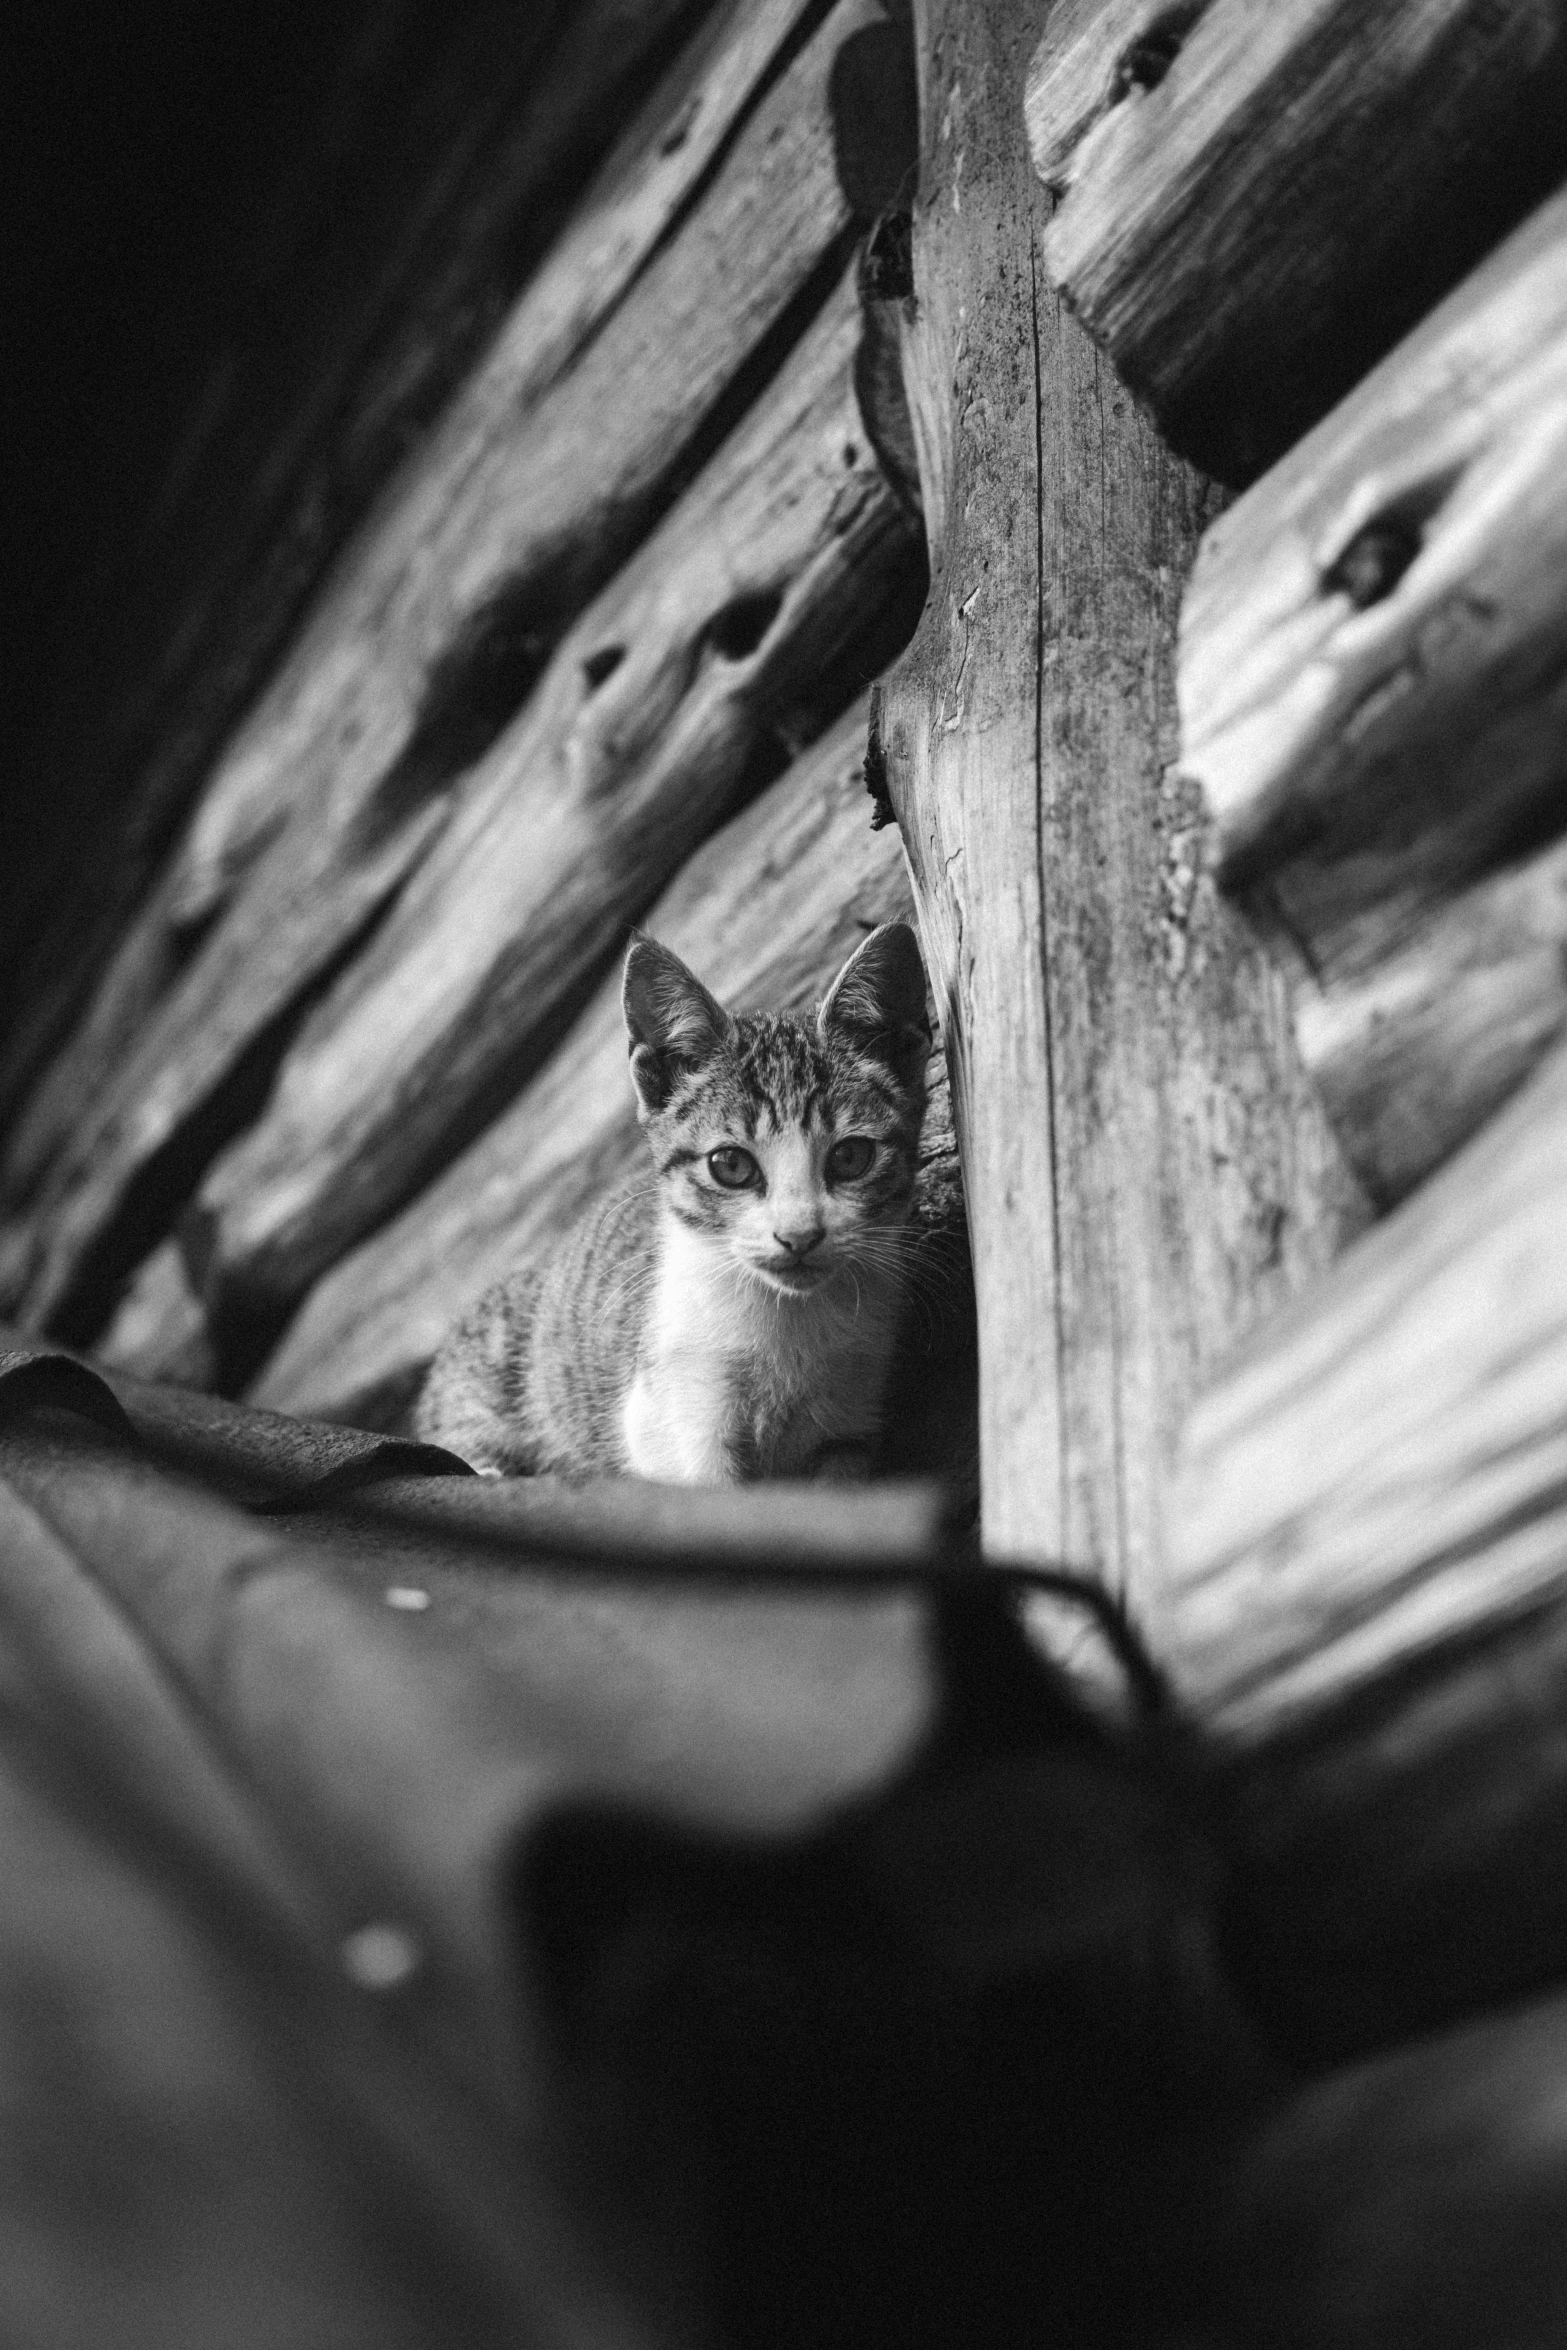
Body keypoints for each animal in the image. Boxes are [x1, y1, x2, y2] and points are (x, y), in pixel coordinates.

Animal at [411, 921, 939, 1485]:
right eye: (730, 1165)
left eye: (851, 1157)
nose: (799, 1235)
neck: (790, 1320)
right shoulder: (673, 1412)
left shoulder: (849, 1422)